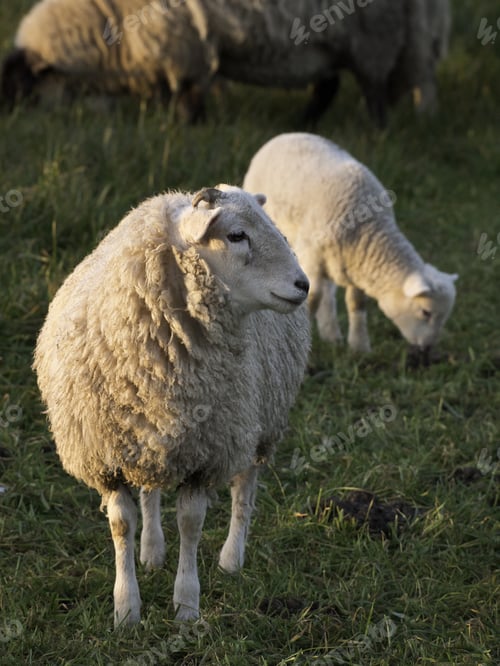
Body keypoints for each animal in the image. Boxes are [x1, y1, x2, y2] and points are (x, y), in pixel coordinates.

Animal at [2, 0, 439, 126]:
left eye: (22, 87)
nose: (11, 121)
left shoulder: (186, 49)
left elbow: (190, 99)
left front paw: (190, 129)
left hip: (373, 37)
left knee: (373, 89)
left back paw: (376, 132)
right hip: (329, 45)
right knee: (327, 87)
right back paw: (305, 124)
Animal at [33, 185, 311, 626]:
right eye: (236, 235)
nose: (304, 285)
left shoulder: (206, 452)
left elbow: (191, 524)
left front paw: (186, 606)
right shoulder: (104, 456)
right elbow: (120, 524)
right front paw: (126, 609)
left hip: (261, 420)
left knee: (245, 487)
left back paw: (232, 558)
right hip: (151, 437)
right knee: (150, 491)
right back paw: (151, 551)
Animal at [243, 132, 458, 353]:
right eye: (426, 312)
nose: (427, 348)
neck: (369, 229)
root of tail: (286, 135)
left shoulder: (357, 266)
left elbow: (356, 303)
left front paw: (359, 346)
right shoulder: (313, 256)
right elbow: (313, 298)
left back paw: (331, 335)